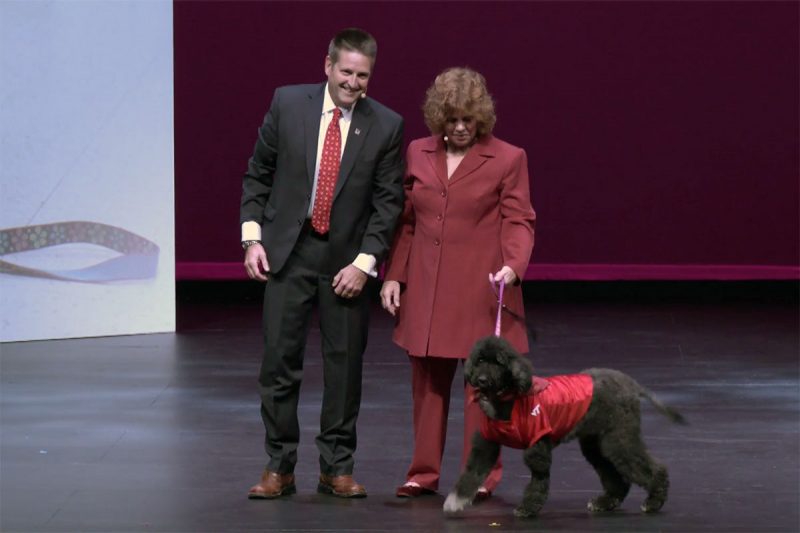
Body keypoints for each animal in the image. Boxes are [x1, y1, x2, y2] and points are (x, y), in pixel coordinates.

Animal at [440, 336, 684, 516]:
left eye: (498, 362)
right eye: (480, 360)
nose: (481, 380)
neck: (508, 399)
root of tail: (630, 384)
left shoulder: (538, 445)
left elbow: (538, 479)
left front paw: (528, 508)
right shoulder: (487, 444)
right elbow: (472, 472)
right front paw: (455, 500)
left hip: (619, 438)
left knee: (651, 468)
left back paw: (654, 501)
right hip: (596, 443)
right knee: (616, 478)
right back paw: (605, 503)